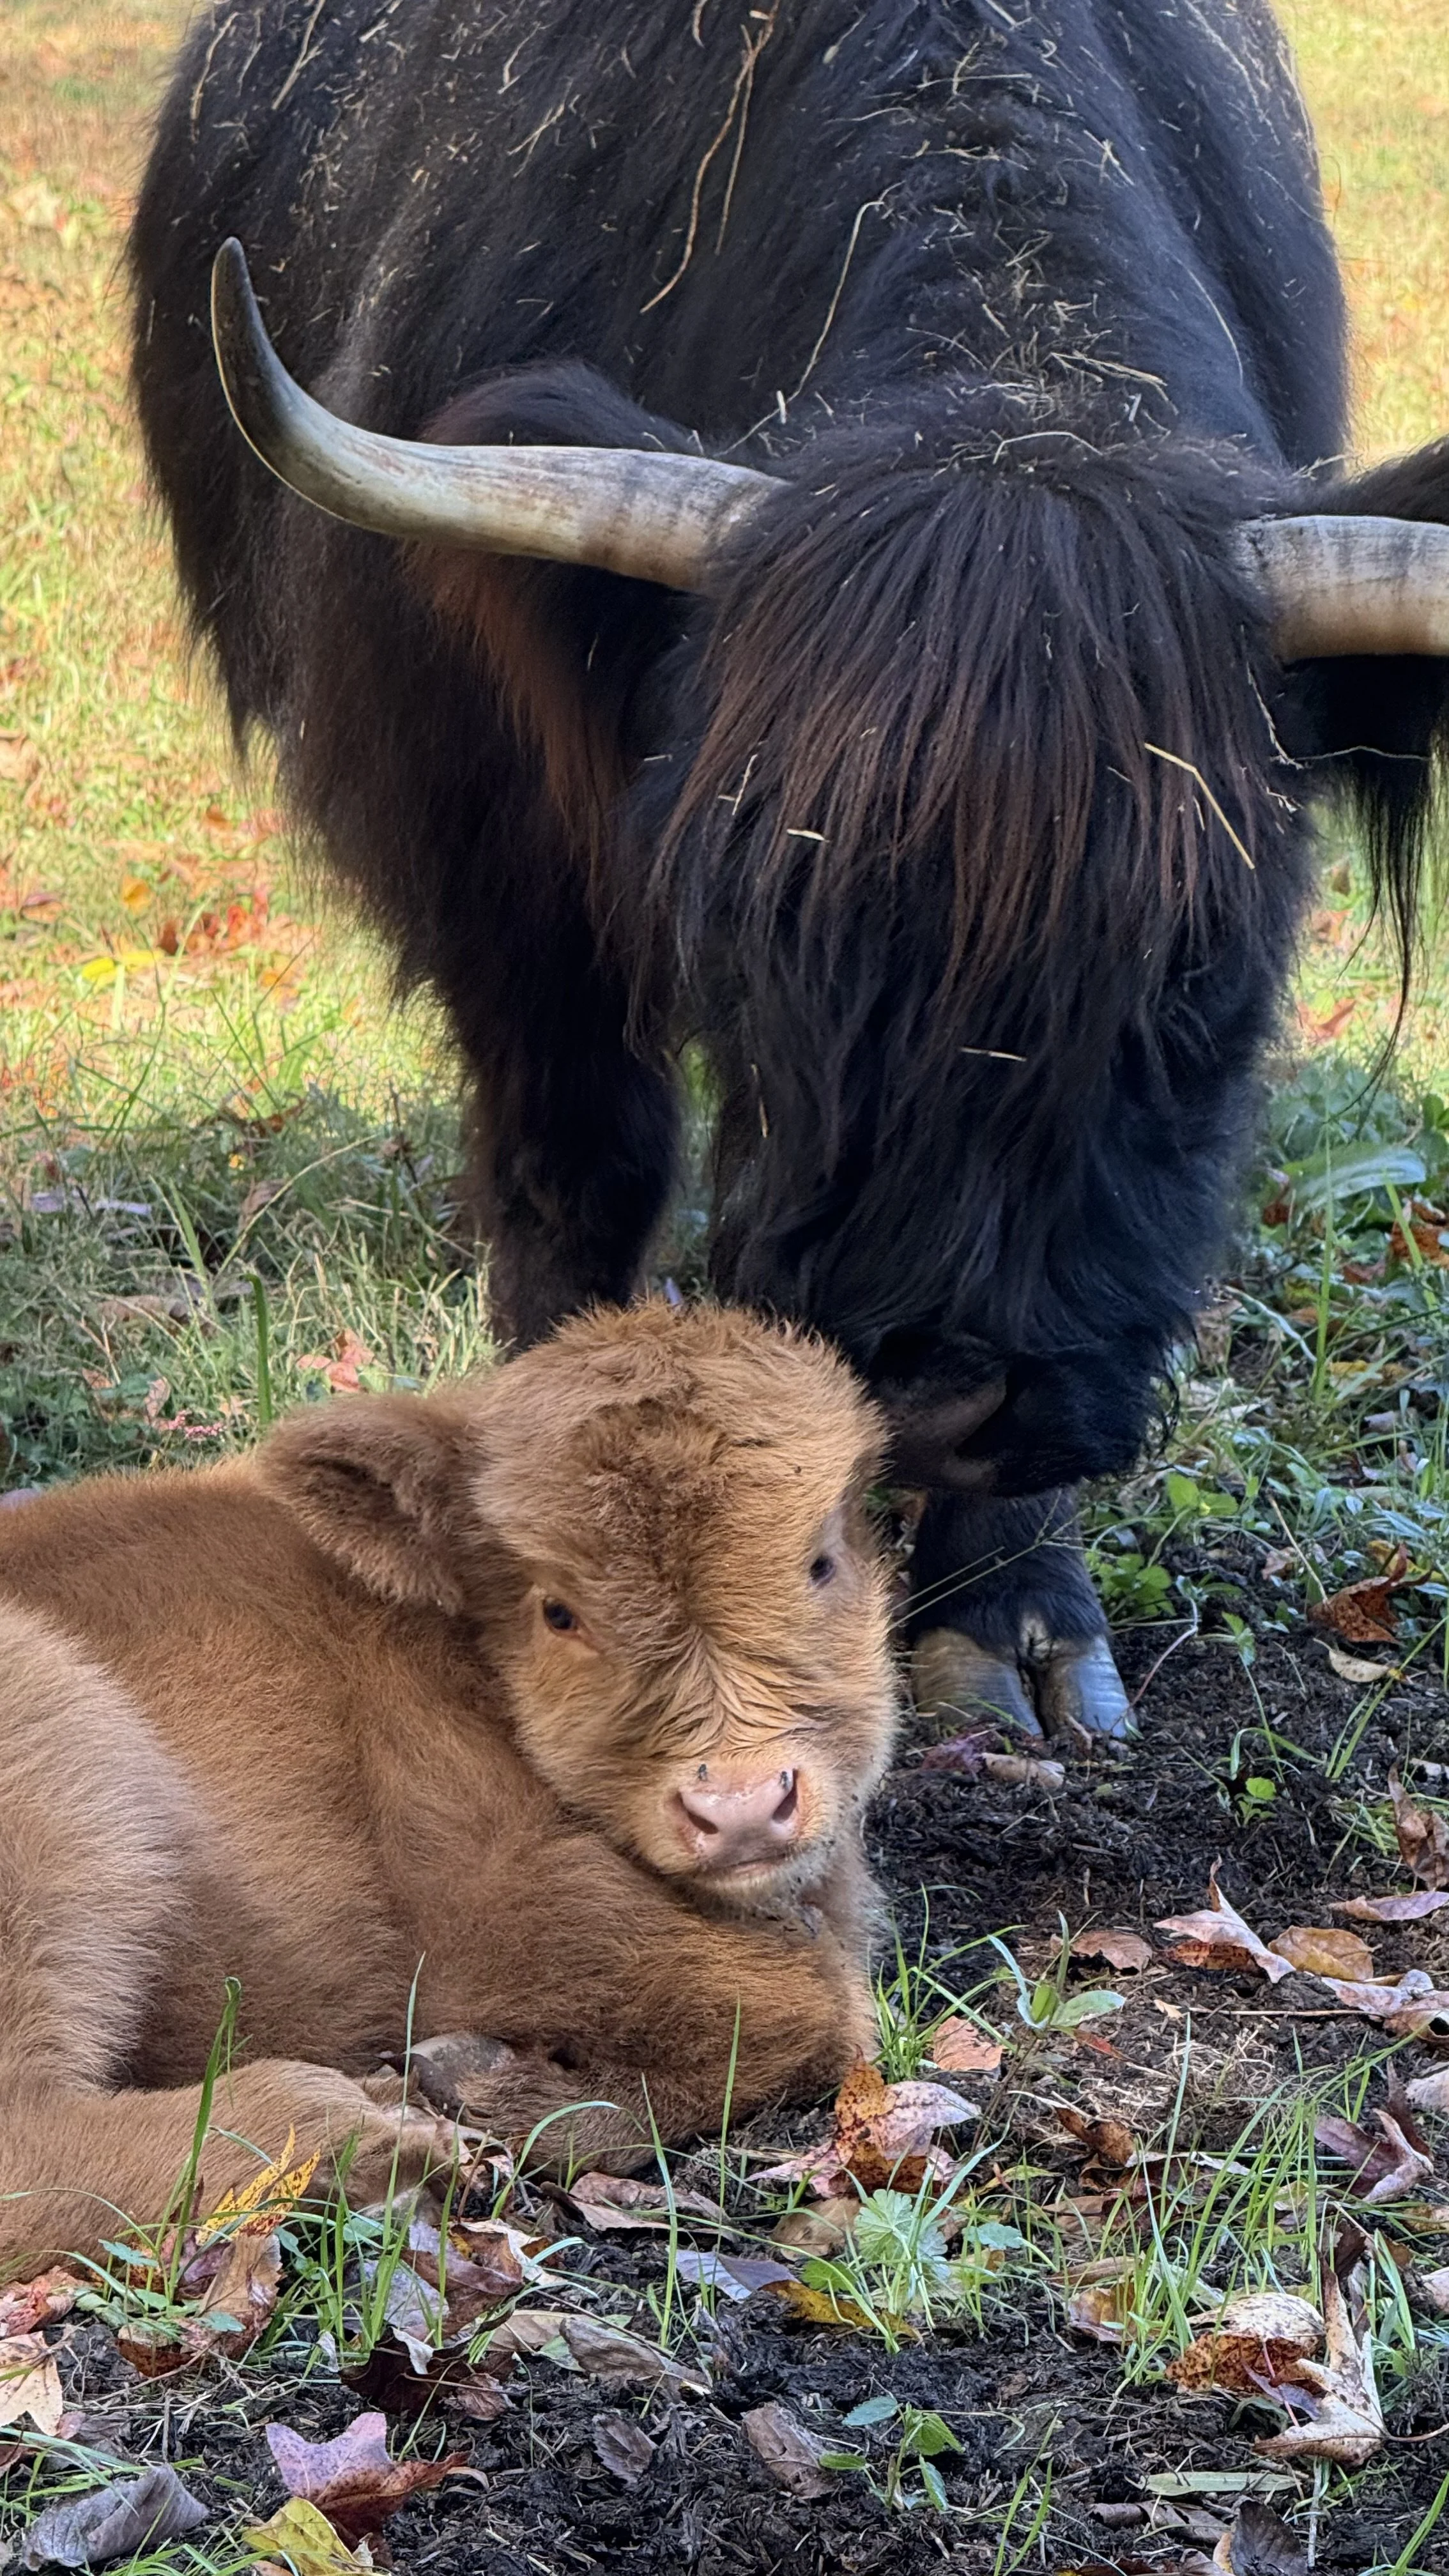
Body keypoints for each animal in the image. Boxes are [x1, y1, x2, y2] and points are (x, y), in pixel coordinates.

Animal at [0, 1301, 894, 2269]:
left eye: (820, 1562)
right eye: (557, 1611)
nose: (740, 1810)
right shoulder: (492, 1911)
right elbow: (808, 2013)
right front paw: (481, 2085)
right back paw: (379, 2132)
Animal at [128, 0, 1449, 1754]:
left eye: (1195, 970)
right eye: (752, 929)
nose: (946, 1388)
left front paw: (1007, 1611)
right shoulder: (491, 857)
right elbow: (581, 1169)